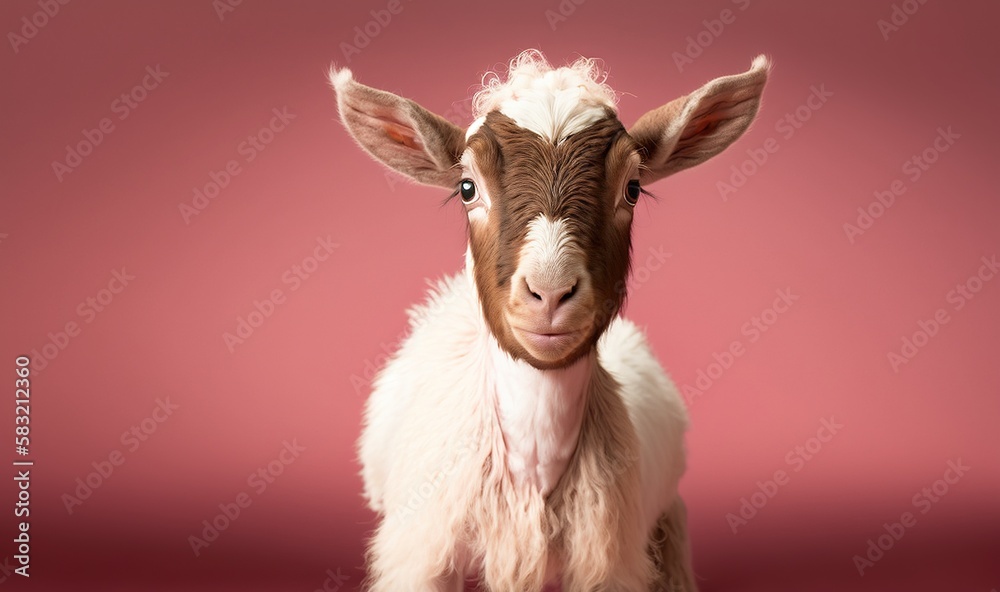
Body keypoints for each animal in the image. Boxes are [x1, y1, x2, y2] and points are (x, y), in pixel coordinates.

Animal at [332, 52, 768, 592]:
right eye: (466, 187)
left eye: (633, 188)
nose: (550, 292)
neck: (533, 469)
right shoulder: (422, 557)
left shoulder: (609, 563)